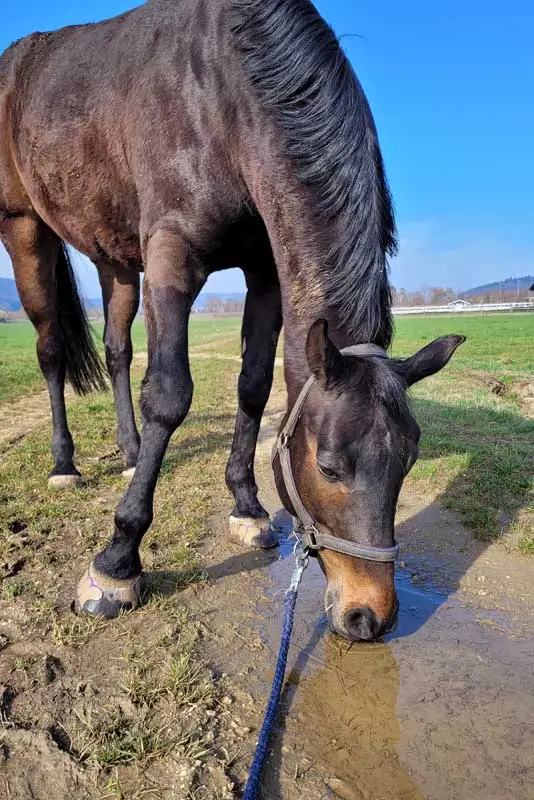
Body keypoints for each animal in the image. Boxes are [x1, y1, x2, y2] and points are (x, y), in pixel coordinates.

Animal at [0, 0, 464, 641]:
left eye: (410, 459)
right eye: (329, 467)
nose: (369, 615)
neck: (226, 91)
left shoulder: (265, 269)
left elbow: (254, 385)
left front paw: (246, 506)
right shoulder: (173, 255)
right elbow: (169, 395)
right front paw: (117, 562)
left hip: (115, 259)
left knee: (118, 349)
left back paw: (128, 451)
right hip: (24, 230)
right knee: (49, 350)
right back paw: (64, 464)